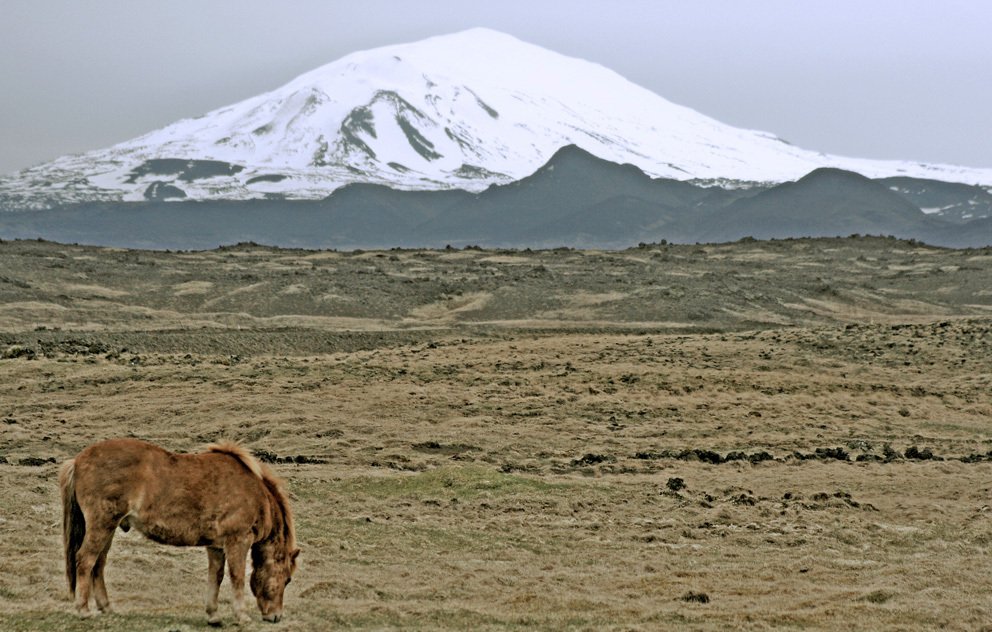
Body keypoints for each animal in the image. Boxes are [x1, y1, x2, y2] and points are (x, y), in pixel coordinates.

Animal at [57, 440, 296, 624]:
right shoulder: (237, 542)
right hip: (102, 525)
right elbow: (236, 578)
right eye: (287, 580)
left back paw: (106, 607)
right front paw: (242, 617)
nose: (276, 616)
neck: (254, 494)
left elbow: (216, 577)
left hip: (109, 528)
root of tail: (78, 461)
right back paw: (83, 610)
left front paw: (213, 616)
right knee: (85, 560)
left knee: (99, 564)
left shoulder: (216, 546)